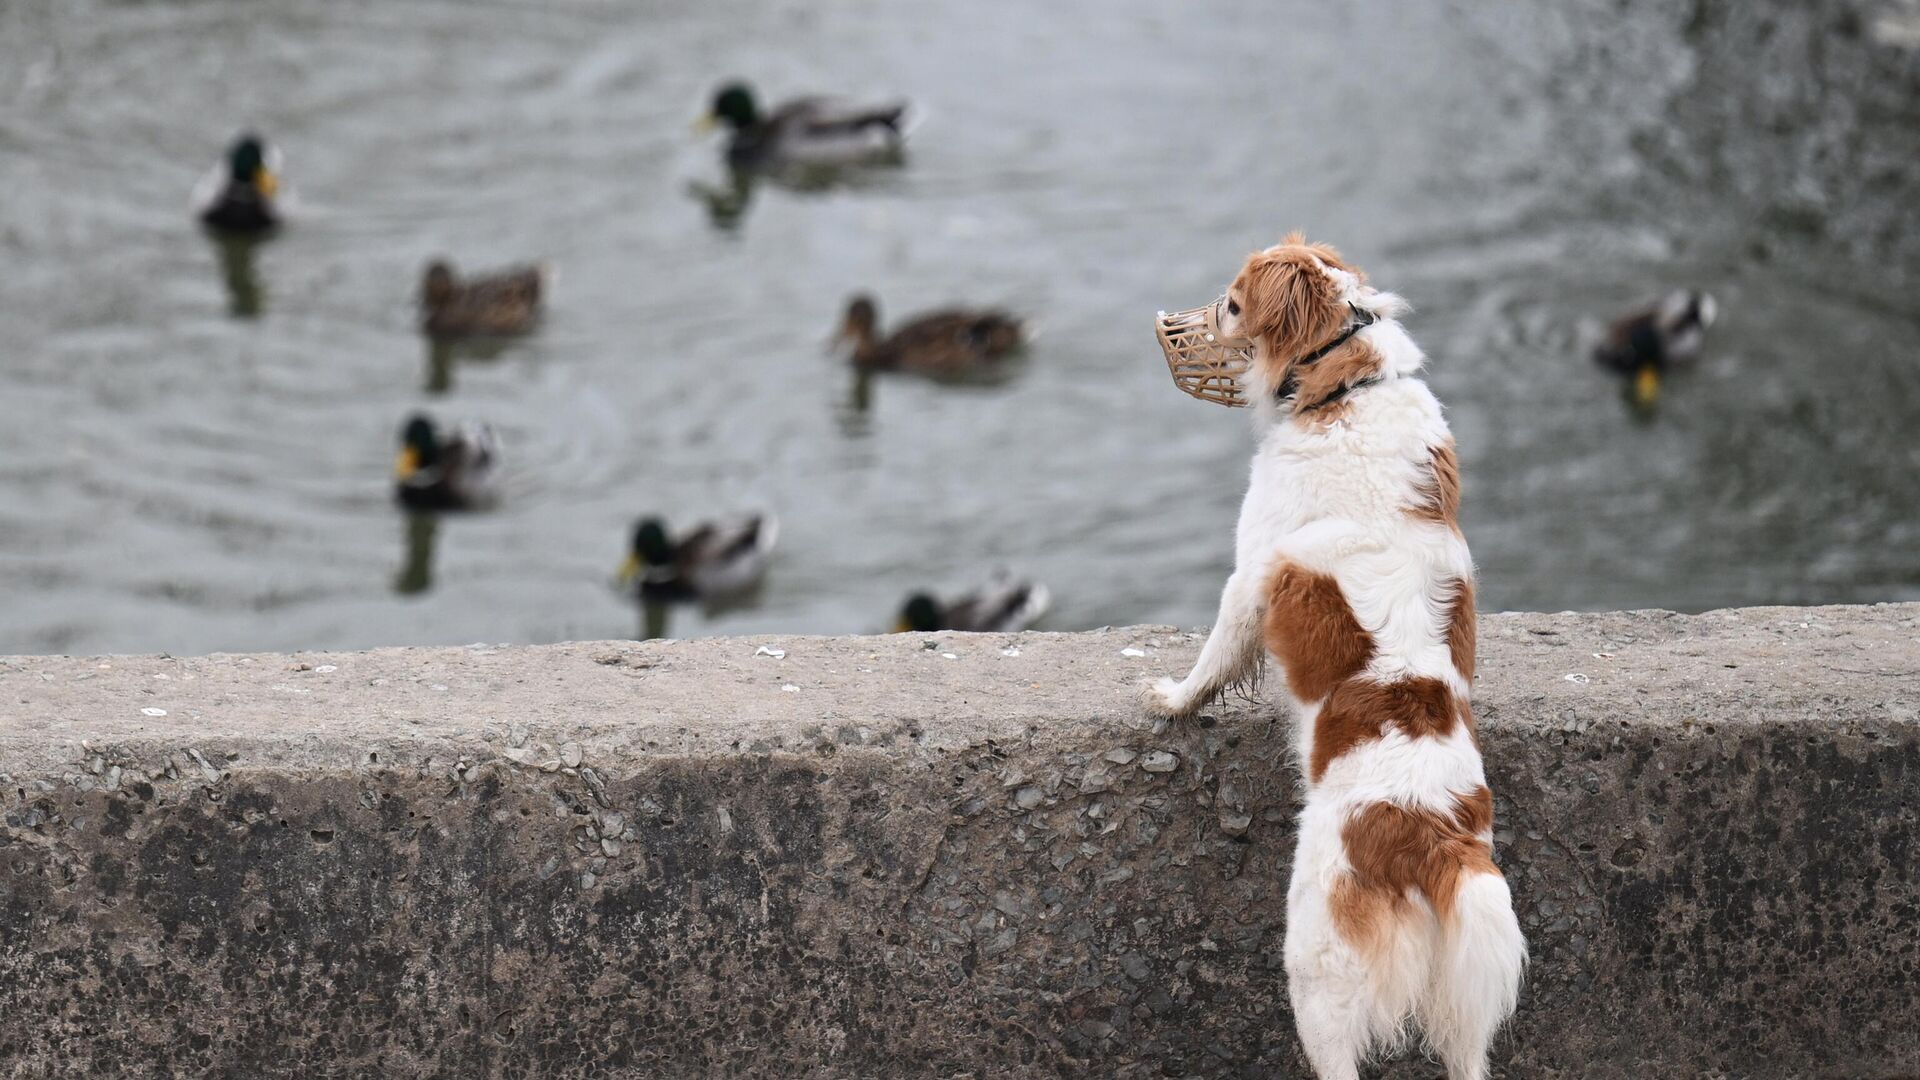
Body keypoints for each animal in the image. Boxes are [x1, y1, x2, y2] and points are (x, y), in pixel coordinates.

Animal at [1136, 231, 1528, 1068]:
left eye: (1231, 304)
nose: (1176, 327)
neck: (1348, 387)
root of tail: (1432, 839)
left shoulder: (1250, 572)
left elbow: (1213, 657)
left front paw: (1174, 700)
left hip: (1316, 968)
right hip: (1466, 999)